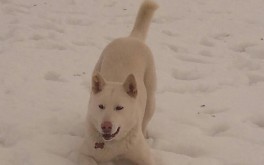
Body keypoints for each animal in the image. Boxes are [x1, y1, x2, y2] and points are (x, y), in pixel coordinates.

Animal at [79, 0, 158, 164]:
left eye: (119, 108)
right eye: (101, 106)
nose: (106, 126)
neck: (112, 144)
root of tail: (133, 38)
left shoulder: (145, 158)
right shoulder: (85, 153)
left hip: (151, 100)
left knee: (145, 121)